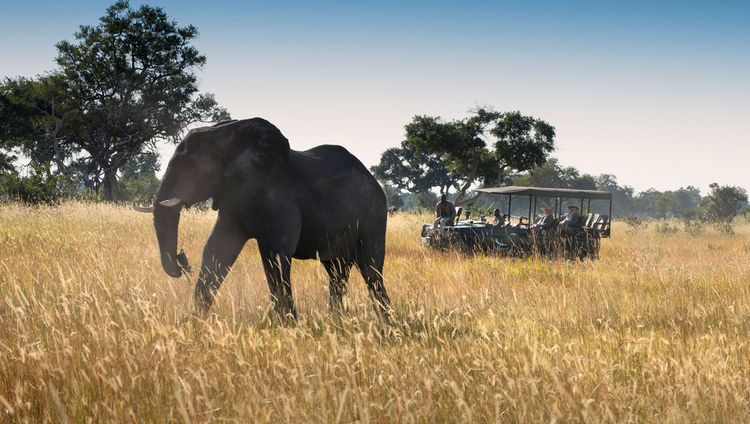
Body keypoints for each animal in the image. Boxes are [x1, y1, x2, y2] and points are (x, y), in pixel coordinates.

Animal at [136, 117, 394, 320]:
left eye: (190, 166)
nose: (182, 261)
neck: (226, 132)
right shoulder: (234, 198)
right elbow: (216, 251)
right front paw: (190, 322)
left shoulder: (280, 196)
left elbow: (276, 255)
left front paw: (289, 325)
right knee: (337, 271)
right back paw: (337, 321)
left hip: (374, 214)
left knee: (371, 268)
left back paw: (386, 324)